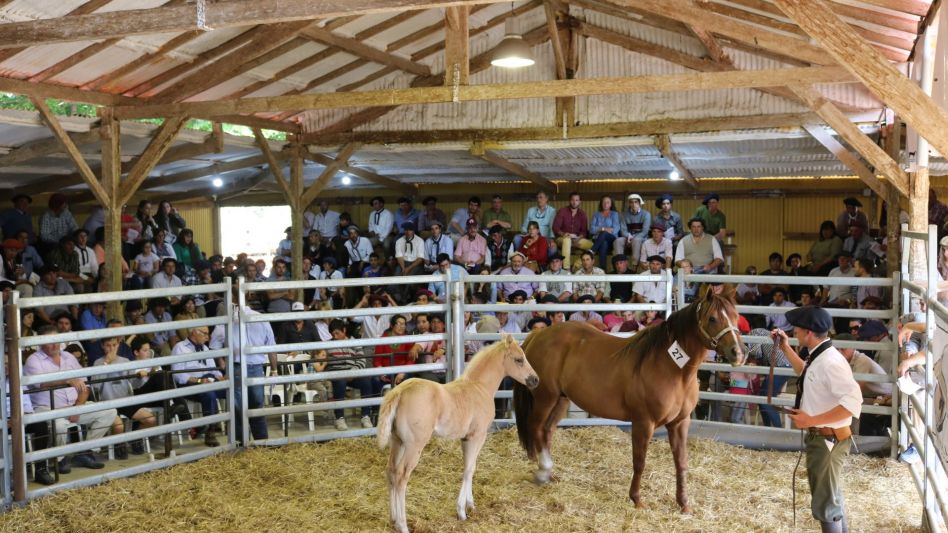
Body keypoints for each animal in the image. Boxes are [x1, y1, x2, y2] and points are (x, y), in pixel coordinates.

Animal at [377, 333, 540, 533]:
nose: (535, 380)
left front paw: (470, 505)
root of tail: (399, 391)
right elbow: (469, 469)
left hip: (397, 441)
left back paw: (393, 520)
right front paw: (462, 511)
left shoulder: (466, 438)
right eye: (519, 359)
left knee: (391, 471)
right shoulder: (478, 436)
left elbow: (470, 467)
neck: (479, 387)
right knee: (401, 476)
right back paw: (402, 525)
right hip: (414, 445)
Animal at [513, 285, 744, 512]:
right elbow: (639, 461)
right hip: (545, 397)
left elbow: (681, 462)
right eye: (712, 318)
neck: (671, 367)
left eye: (736, 316)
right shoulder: (643, 422)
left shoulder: (680, 423)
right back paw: (543, 472)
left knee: (547, 431)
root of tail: (539, 334)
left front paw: (683, 504)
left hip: (561, 400)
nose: (738, 353)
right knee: (536, 427)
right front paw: (637, 499)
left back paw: (551, 473)